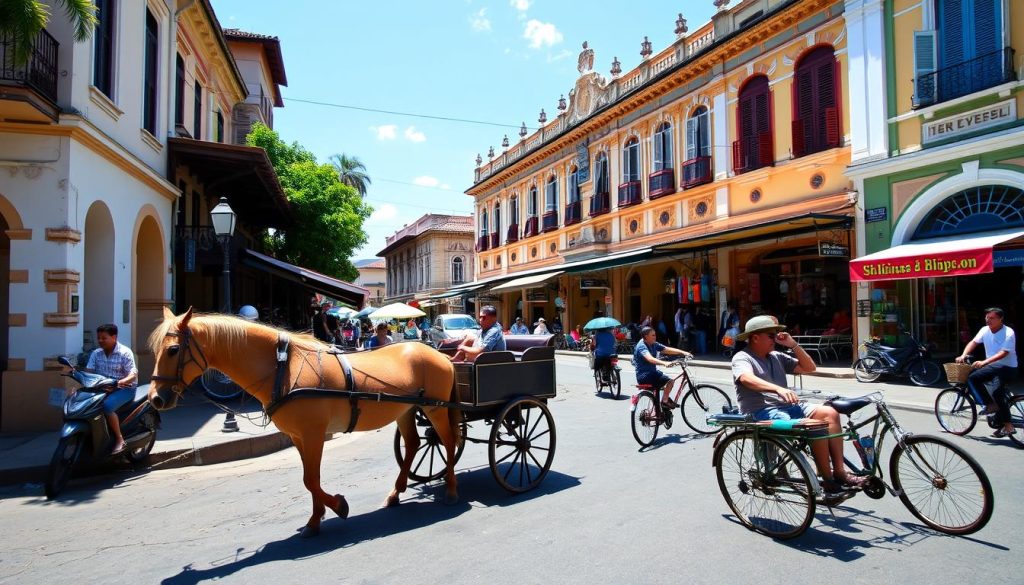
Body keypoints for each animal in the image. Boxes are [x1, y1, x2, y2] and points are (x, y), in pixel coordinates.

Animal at [147, 309, 460, 536]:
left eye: (173, 350)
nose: (155, 399)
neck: (283, 368)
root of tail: (439, 354)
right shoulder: (298, 436)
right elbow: (310, 480)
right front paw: (317, 517)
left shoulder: (313, 434)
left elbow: (311, 479)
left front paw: (336, 506)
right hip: (406, 410)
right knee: (414, 444)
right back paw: (396, 492)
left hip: (435, 410)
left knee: (448, 441)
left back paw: (451, 489)